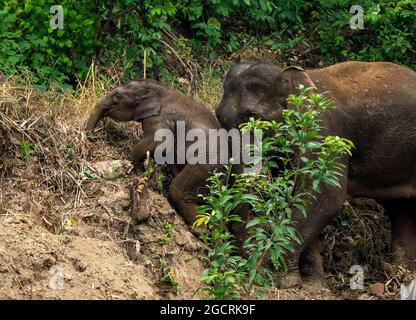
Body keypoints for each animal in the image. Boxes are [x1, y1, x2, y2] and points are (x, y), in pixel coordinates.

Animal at [85, 79, 223, 225]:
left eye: (116, 96)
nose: (93, 137)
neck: (157, 89)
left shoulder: (160, 118)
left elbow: (160, 141)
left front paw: (137, 171)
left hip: (207, 166)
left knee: (178, 190)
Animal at [216, 60, 416, 288]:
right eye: (218, 116)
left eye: (252, 117)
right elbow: (298, 196)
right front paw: (314, 284)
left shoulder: (324, 136)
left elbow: (323, 198)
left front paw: (285, 281)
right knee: (401, 209)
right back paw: (401, 274)